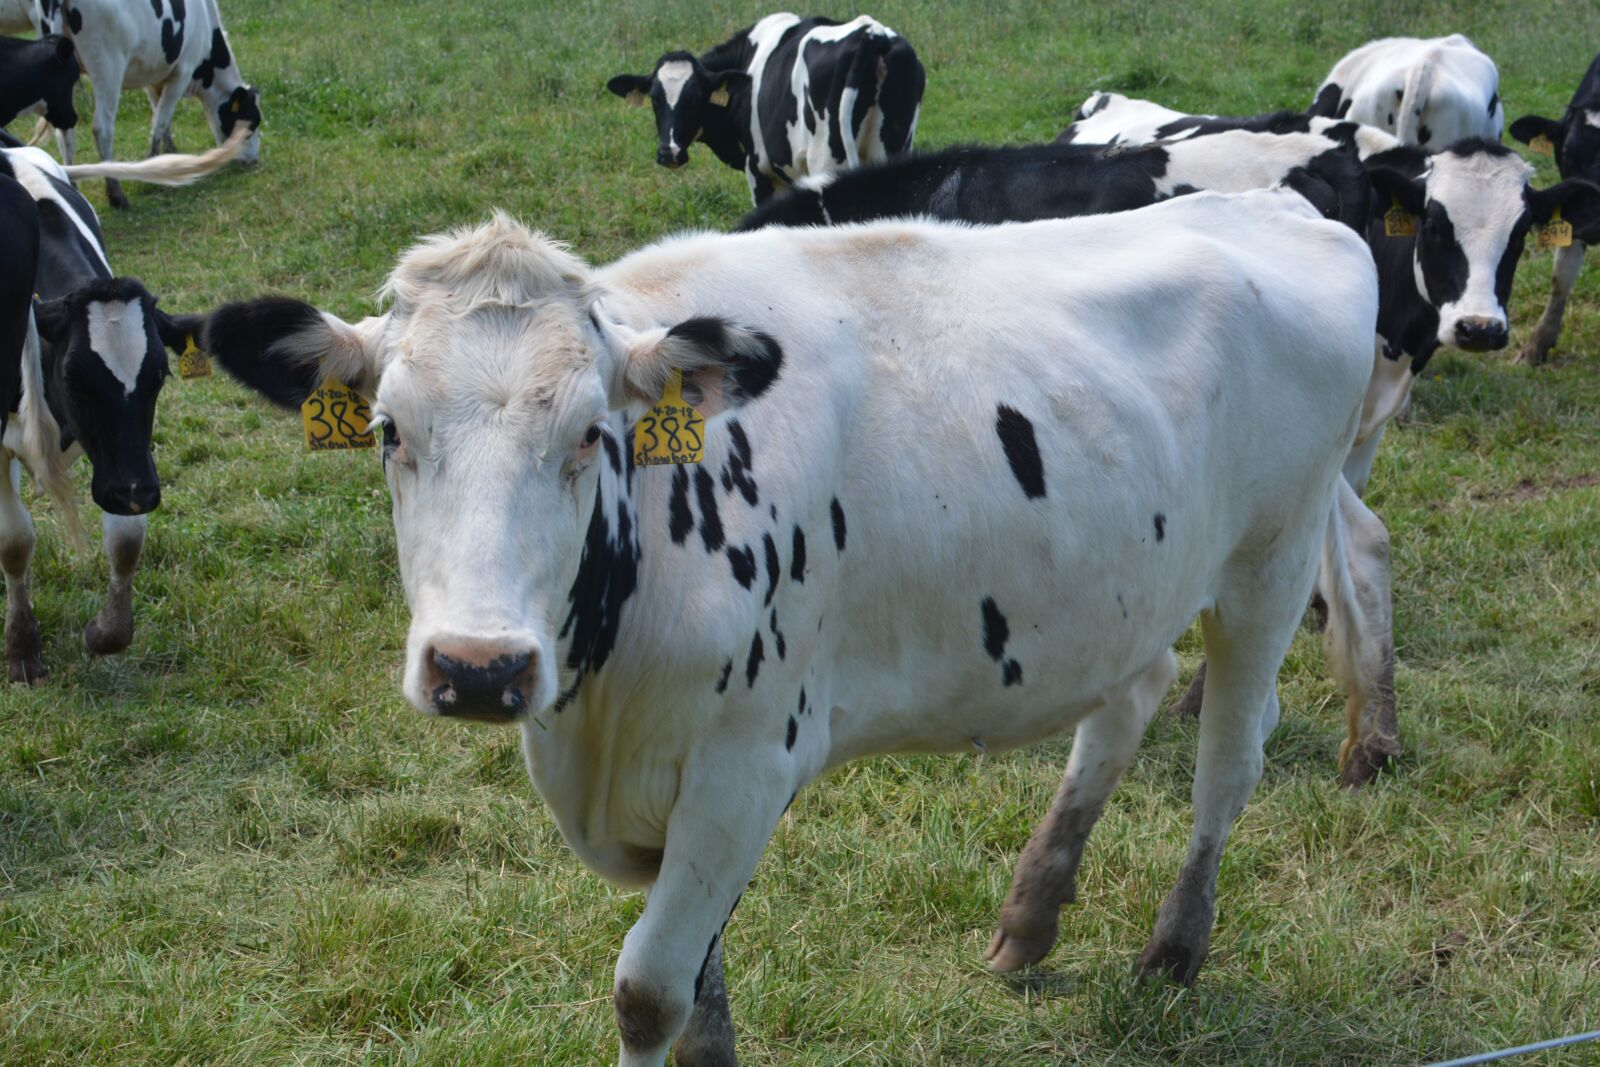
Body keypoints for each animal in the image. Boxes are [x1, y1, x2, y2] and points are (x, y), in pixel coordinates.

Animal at [1, 132, 242, 682]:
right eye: (75, 377)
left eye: (160, 374)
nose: (137, 491)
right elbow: (15, 540)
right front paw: (23, 649)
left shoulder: (124, 457)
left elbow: (127, 539)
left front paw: (106, 632)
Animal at [37, 0, 261, 209]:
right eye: (252, 125)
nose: (253, 160)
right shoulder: (182, 73)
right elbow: (160, 121)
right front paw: (153, 167)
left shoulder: (154, 76)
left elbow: (161, 114)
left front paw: (170, 151)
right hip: (108, 68)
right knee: (102, 128)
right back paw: (116, 194)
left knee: (65, 132)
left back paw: (71, 185)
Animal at [189, 191, 1389, 1064]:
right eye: (389, 429)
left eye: (590, 434)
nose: (479, 668)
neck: (596, 711)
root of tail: (1277, 203)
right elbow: (697, 996)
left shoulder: (745, 764)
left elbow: (647, 990)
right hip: (1123, 585)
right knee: (1126, 701)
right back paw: (1031, 914)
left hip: (1271, 557)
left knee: (1228, 754)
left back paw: (1173, 950)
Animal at [606, 12, 923, 204]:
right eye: (654, 98)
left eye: (695, 98)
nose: (669, 153)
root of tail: (872, 34)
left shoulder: (759, 170)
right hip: (892, 149)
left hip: (828, 160)